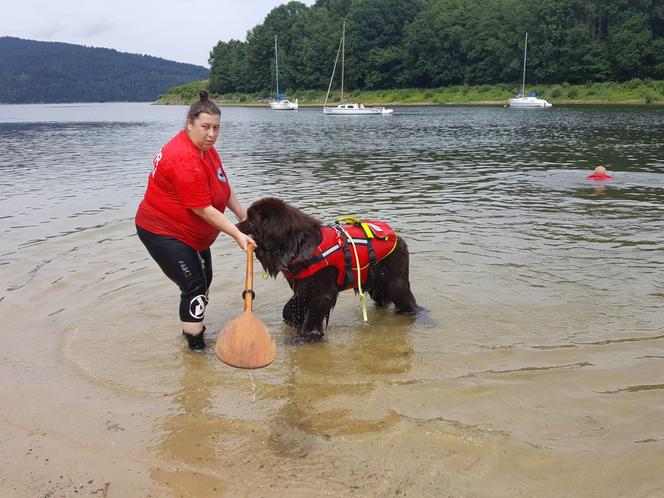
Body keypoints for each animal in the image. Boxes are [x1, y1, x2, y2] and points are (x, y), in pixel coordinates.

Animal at [236, 196, 418, 340]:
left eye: (251, 221)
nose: (236, 227)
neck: (297, 245)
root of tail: (398, 238)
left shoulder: (322, 292)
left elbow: (313, 316)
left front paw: (306, 337)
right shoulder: (303, 288)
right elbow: (289, 311)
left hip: (395, 282)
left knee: (408, 302)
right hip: (376, 284)